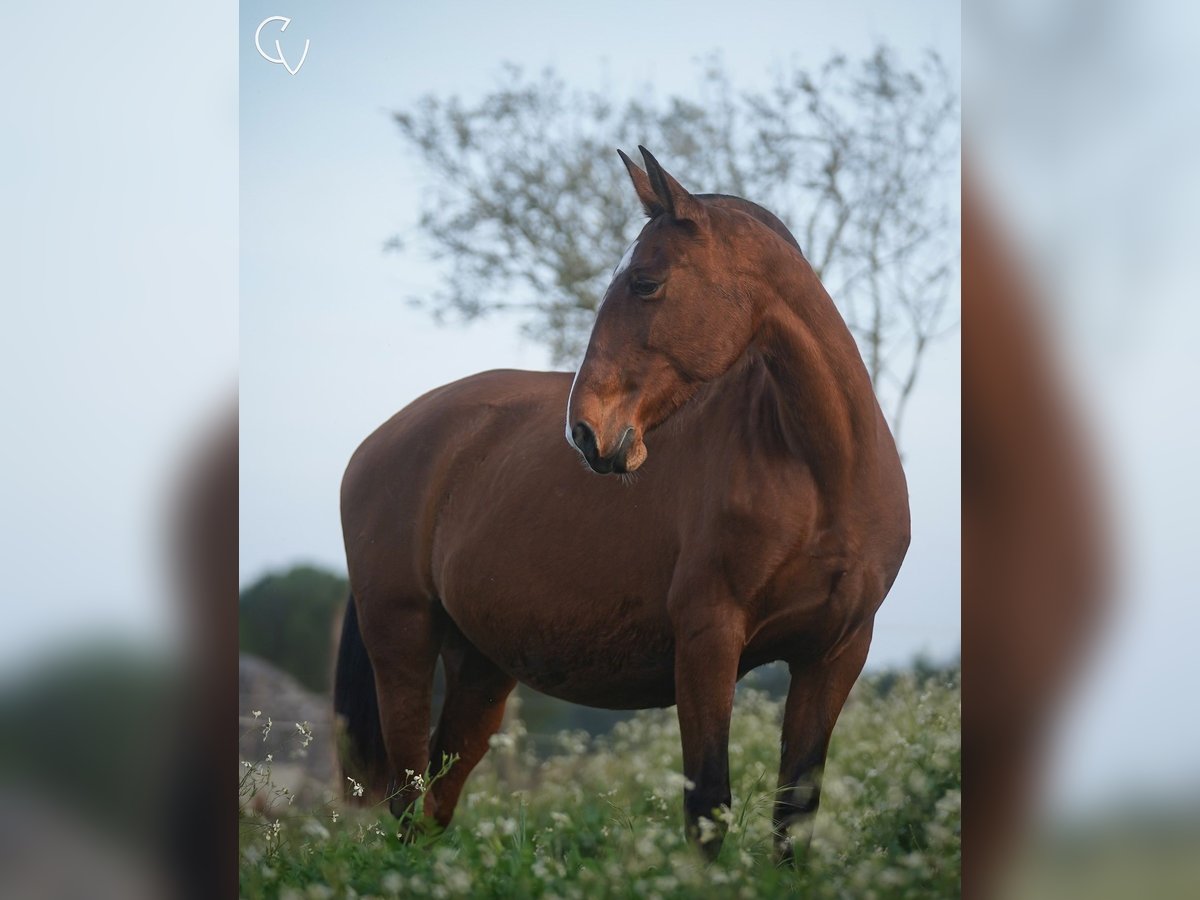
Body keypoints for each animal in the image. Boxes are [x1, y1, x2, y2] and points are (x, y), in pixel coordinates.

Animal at [333, 146, 902, 859]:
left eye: (646, 283)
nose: (585, 431)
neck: (823, 472)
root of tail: (378, 442)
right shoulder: (708, 642)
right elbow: (708, 805)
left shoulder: (834, 655)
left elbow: (793, 814)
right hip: (403, 641)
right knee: (410, 799)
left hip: (481, 669)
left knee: (437, 797)